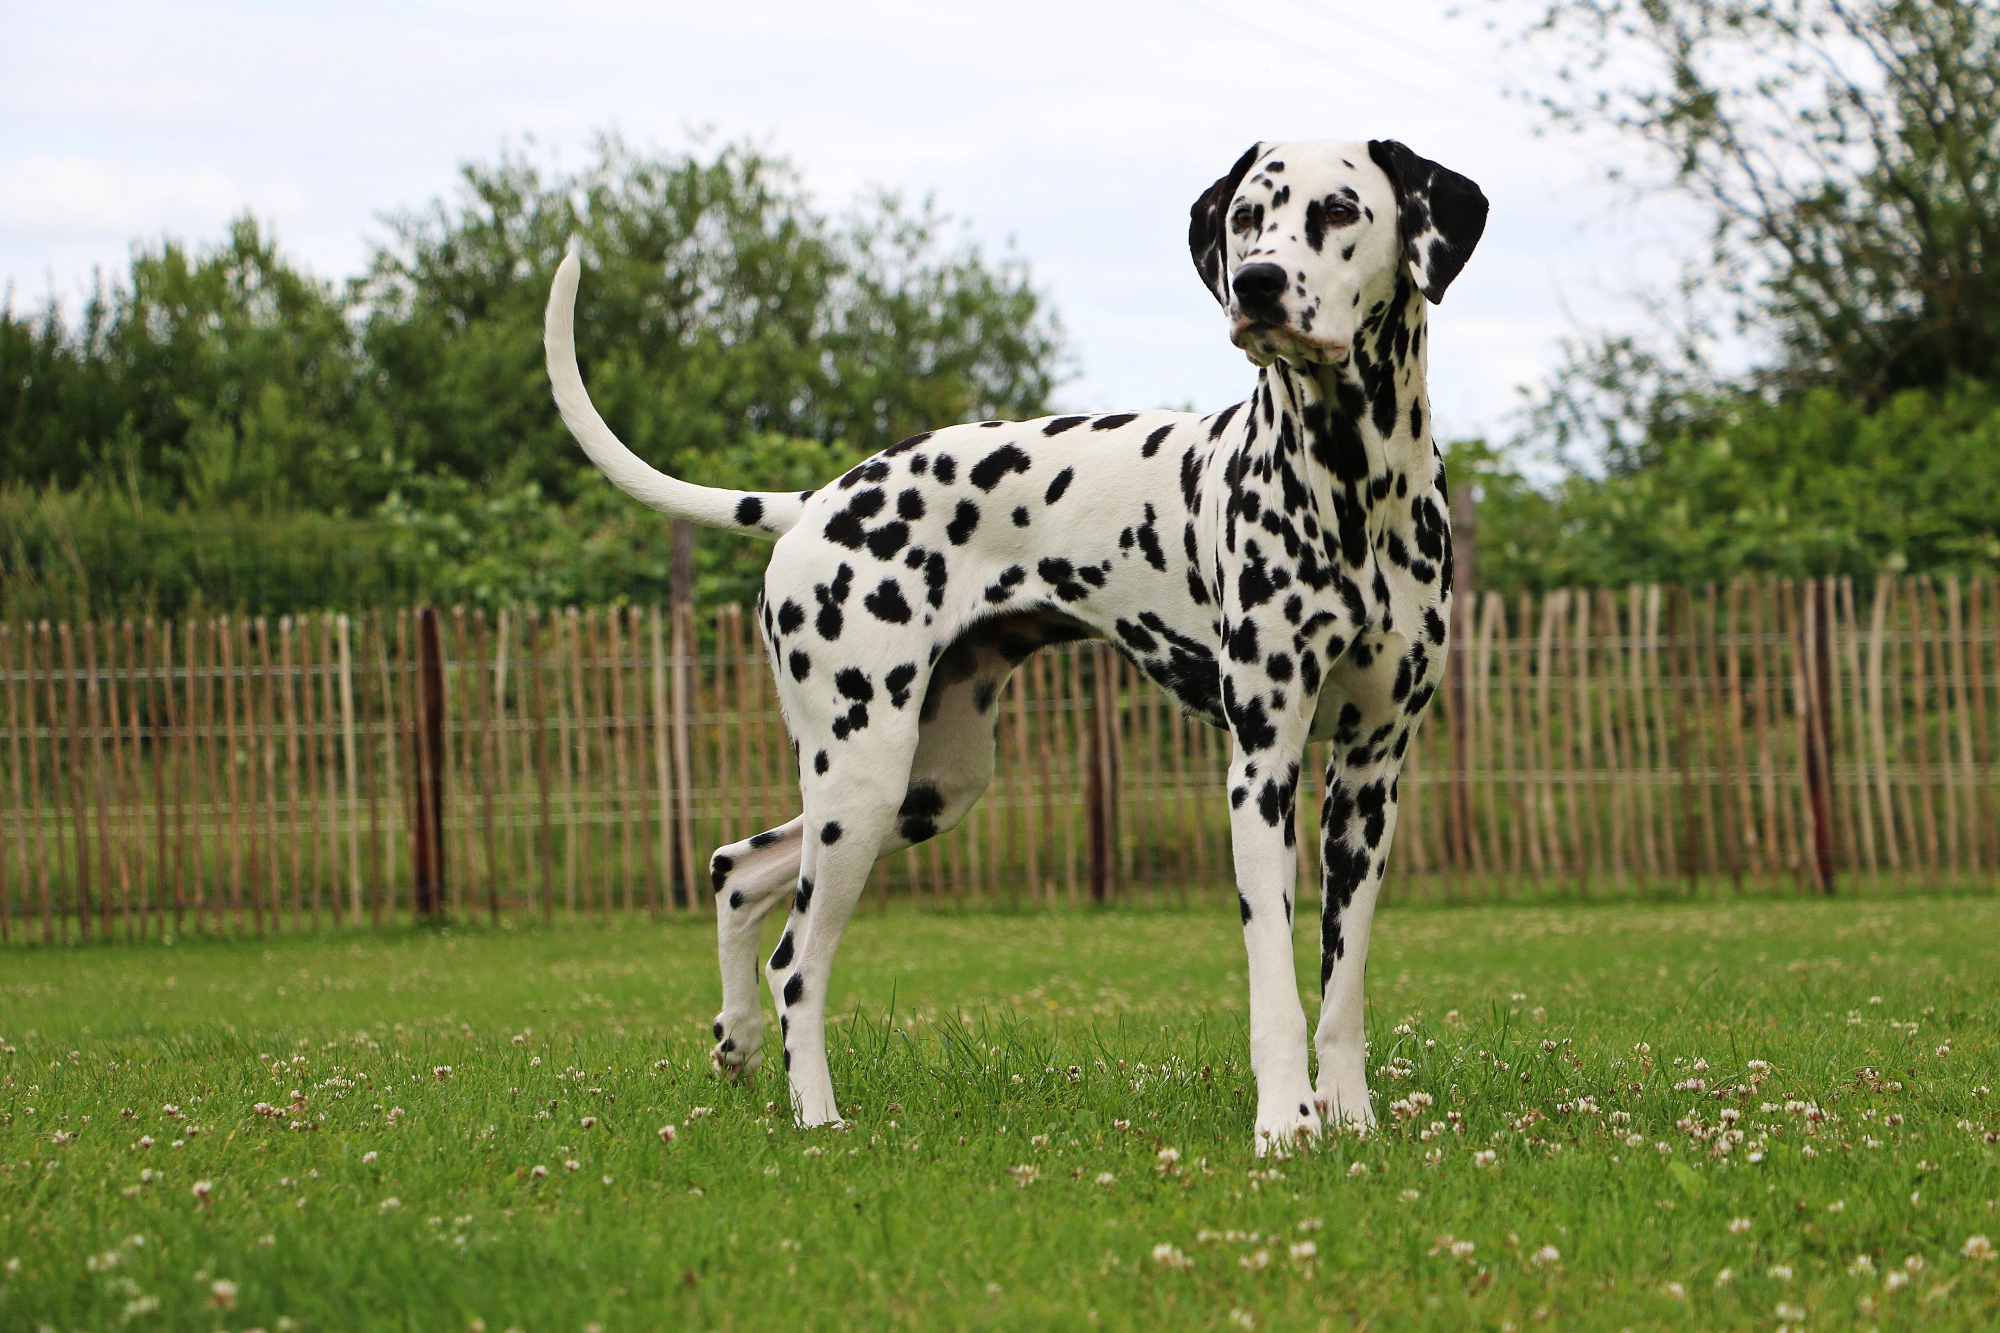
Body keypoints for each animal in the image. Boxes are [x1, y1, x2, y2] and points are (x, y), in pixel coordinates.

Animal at [548, 137, 1488, 1152]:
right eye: (1248, 216)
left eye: (1340, 210)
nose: (1259, 282)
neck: (1356, 486)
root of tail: (818, 500)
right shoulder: (1261, 767)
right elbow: (1274, 984)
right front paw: (1284, 1125)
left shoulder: (1369, 776)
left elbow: (1341, 986)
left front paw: (1350, 1117)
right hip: (863, 777)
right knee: (795, 959)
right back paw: (818, 1116)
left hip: (927, 786)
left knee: (736, 869)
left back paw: (738, 1043)